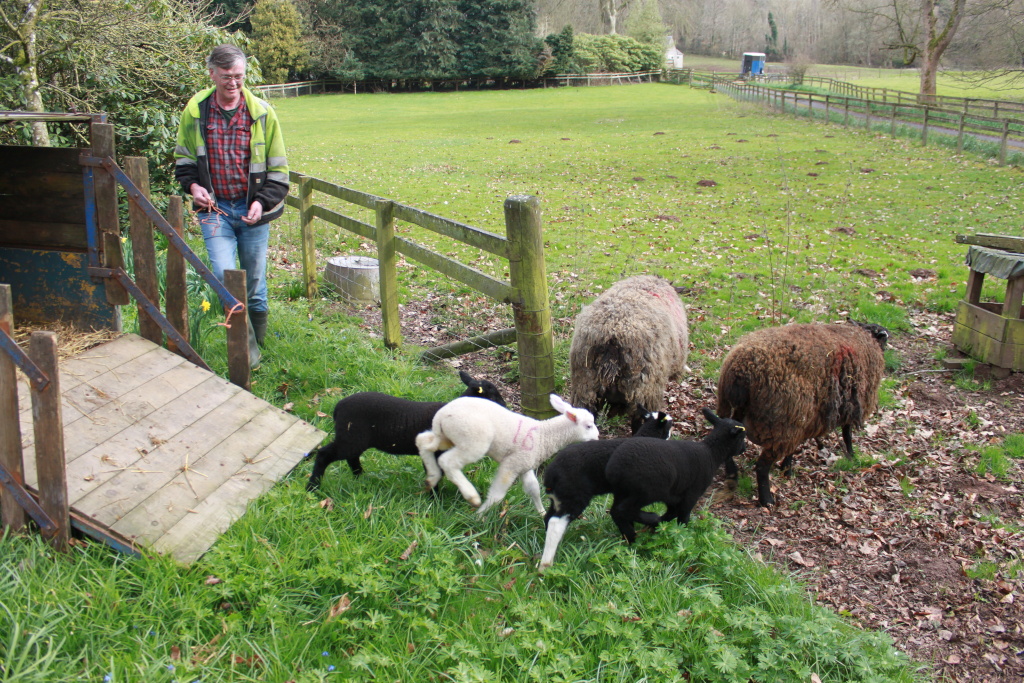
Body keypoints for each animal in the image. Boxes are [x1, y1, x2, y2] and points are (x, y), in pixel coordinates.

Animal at [306, 370, 506, 491]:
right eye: (493, 394)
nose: (506, 407)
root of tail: (338, 407)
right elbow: (434, 474)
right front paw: (435, 500)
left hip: (354, 438)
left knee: (351, 457)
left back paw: (360, 477)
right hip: (351, 437)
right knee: (325, 454)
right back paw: (313, 487)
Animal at [415, 394, 599, 515]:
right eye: (589, 426)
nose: (597, 438)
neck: (544, 435)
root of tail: (441, 416)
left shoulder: (524, 464)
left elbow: (533, 489)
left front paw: (540, 512)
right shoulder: (512, 464)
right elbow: (498, 494)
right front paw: (480, 516)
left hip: (446, 436)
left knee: (423, 441)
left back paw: (431, 478)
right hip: (473, 440)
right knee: (447, 461)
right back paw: (471, 496)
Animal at [539, 410, 674, 570]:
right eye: (669, 425)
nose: (671, 435)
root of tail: (550, 474)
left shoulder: (622, 492)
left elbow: (619, 513)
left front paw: (629, 540)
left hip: (560, 497)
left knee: (548, 518)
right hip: (574, 496)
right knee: (555, 523)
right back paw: (545, 565)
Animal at [604, 407, 747, 544]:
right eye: (742, 438)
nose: (744, 449)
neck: (711, 453)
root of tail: (614, 468)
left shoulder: (674, 496)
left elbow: (671, 513)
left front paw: (658, 527)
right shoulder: (692, 494)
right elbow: (683, 517)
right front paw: (680, 535)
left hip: (623, 492)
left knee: (615, 511)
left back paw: (630, 535)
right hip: (646, 491)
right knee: (621, 510)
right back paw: (647, 521)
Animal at [715, 319, 889, 507]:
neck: (863, 335)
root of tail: (741, 370)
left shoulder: (804, 419)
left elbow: (794, 449)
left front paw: (787, 468)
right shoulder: (851, 405)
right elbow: (847, 433)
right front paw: (851, 456)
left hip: (754, 414)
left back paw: (733, 474)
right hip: (782, 423)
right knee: (761, 466)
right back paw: (766, 500)